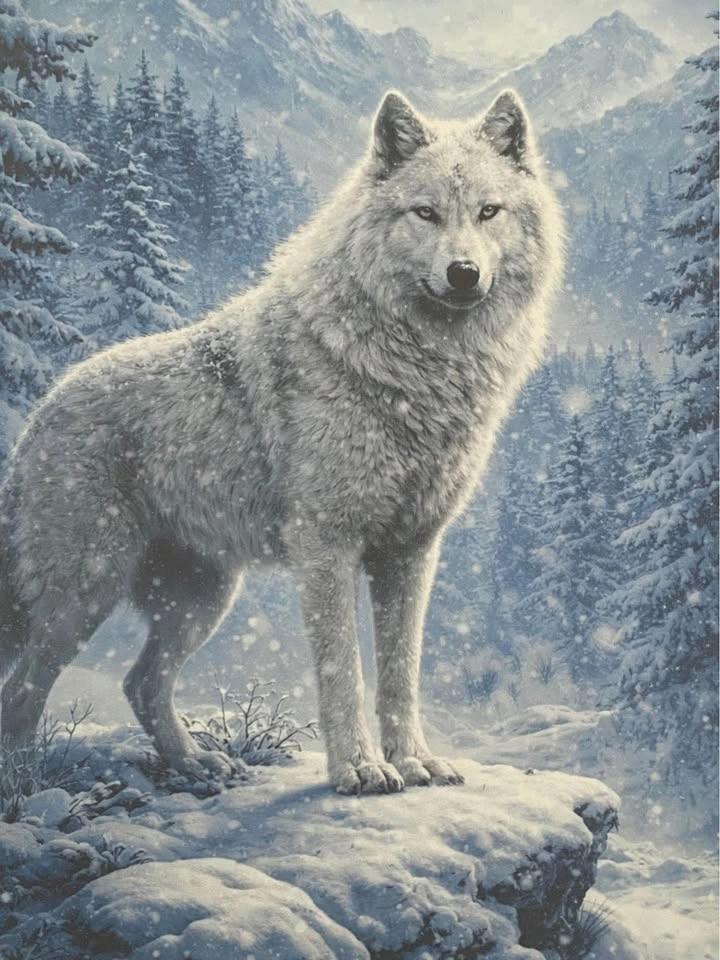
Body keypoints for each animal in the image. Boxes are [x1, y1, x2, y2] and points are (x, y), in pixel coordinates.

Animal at [0, 89, 562, 794]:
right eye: (426, 213)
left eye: (489, 211)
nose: (464, 273)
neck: (417, 373)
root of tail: (37, 417)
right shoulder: (326, 544)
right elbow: (343, 670)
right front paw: (360, 769)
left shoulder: (411, 550)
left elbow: (401, 673)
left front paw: (413, 761)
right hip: (85, 594)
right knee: (23, 691)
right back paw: (26, 791)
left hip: (202, 600)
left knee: (139, 683)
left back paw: (196, 763)